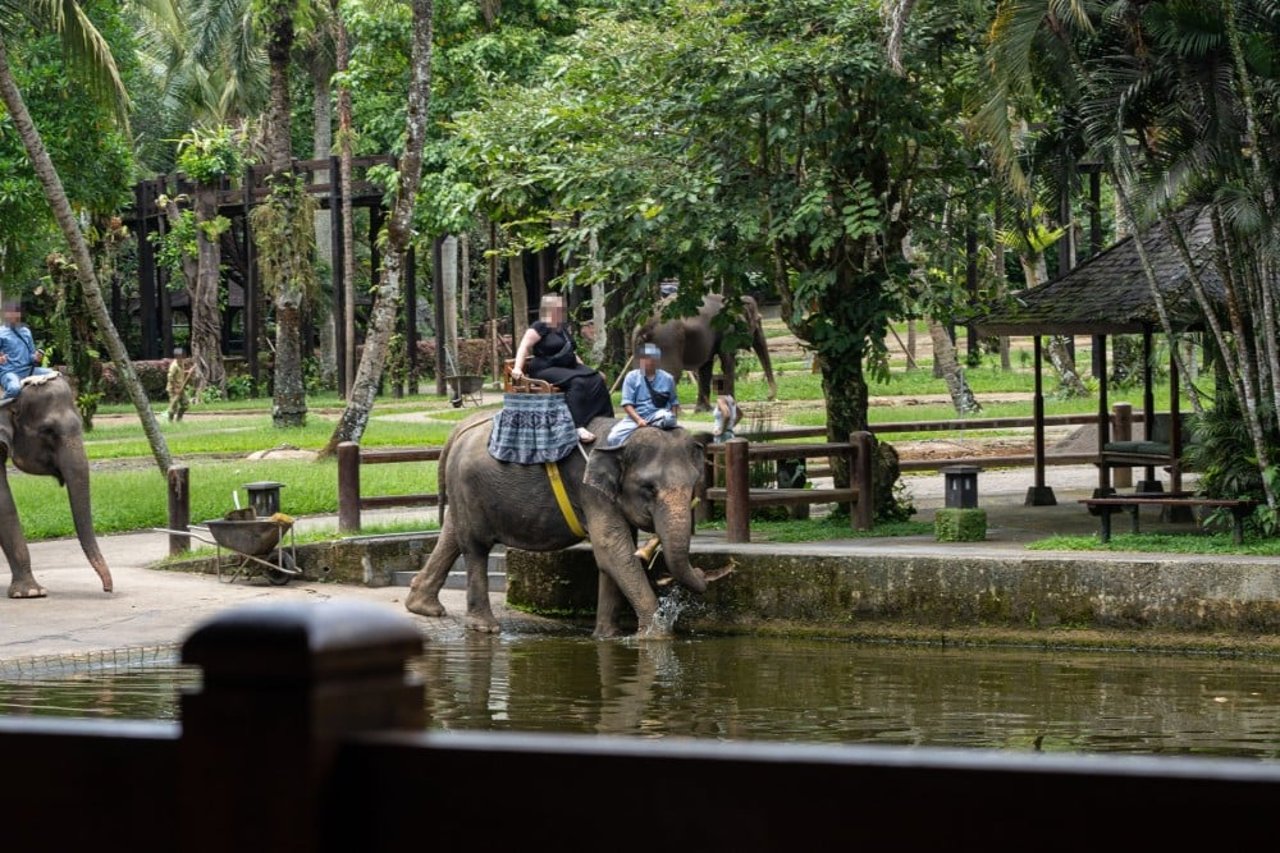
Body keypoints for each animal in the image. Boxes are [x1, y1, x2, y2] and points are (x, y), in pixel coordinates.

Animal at [407, 409, 732, 635]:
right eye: (649, 488)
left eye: (694, 484)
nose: (703, 573)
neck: (619, 438)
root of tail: (461, 428)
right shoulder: (590, 491)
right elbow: (612, 549)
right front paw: (655, 635)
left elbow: (614, 554)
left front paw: (608, 636)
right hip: (469, 486)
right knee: (475, 547)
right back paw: (484, 628)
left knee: (453, 533)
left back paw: (422, 606)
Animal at [632, 292, 773, 412]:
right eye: (759, 320)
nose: (769, 397)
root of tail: (646, 327)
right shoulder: (726, 331)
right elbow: (727, 363)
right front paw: (733, 406)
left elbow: (706, 368)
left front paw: (703, 411)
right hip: (667, 343)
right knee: (672, 372)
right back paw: (677, 412)